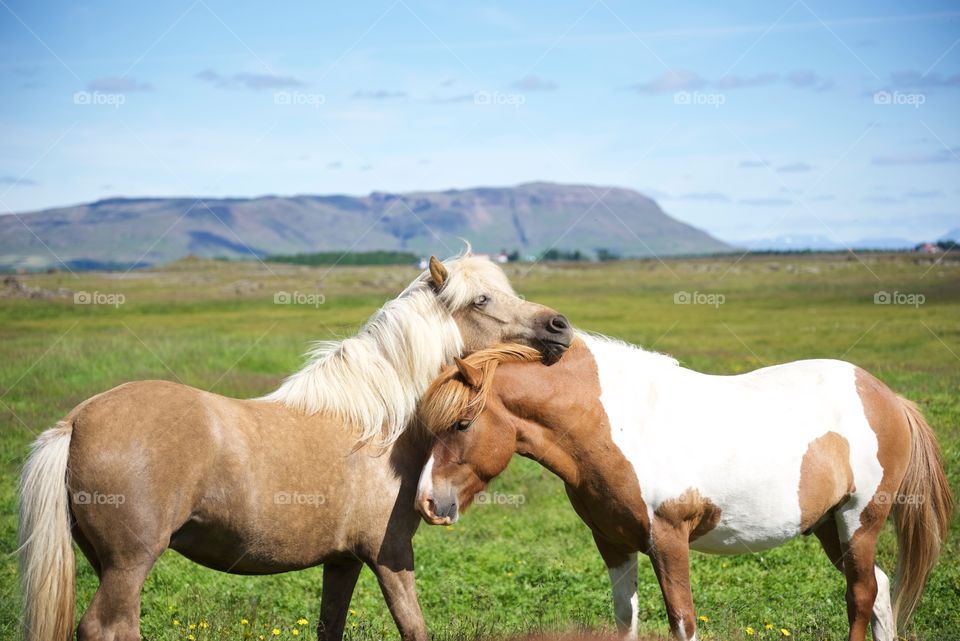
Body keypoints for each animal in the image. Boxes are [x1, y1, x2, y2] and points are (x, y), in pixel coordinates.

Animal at [16, 254, 568, 640]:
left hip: (106, 562)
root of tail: (77, 421)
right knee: (109, 627)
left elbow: (331, 627)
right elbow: (413, 627)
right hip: (130, 563)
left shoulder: (343, 560)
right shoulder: (390, 553)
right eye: (481, 301)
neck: (380, 426)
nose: (559, 327)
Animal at [414, 332, 952, 636]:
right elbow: (625, 619)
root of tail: (888, 396)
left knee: (860, 596)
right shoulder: (613, 543)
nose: (427, 503)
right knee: (879, 592)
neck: (617, 424)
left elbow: (682, 619)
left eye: (461, 423)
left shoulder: (669, 539)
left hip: (859, 520)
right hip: (828, 526)